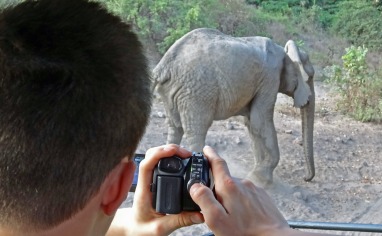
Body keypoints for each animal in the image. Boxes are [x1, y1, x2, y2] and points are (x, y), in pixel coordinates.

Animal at [151, 28, 314, 186]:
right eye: (311, 76)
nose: (306, 178)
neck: (285, 53)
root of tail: (163, 66)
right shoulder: (270, 78)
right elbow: (260, 121)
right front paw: (261, 181)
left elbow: (252, 123)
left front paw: (257, 176)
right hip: (197, 91)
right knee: (196, 130)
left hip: (173, 90)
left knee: (175, 126)